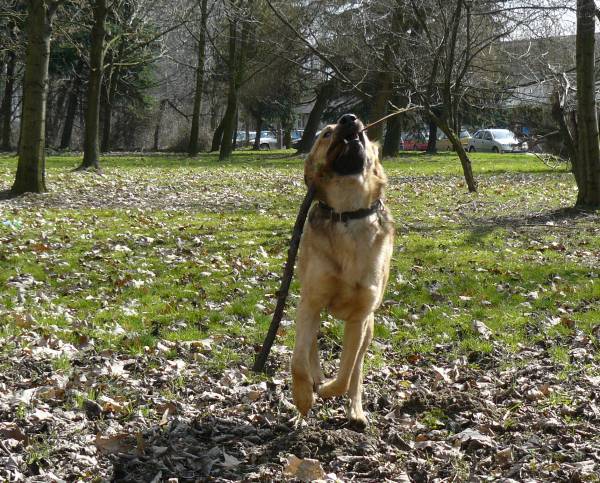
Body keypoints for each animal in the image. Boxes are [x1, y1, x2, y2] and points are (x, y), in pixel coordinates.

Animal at [291, 113, 394, 428]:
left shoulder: (360, 317)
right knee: (310, 347)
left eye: (365, 132)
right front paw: (304, 397)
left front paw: (327, 390)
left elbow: (347, 372)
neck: (348, 213)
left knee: (357, 368)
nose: (349, 119)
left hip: (369, 326)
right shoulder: (310, 302)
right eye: (326, 134)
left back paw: (355, 410)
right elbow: (298, 361)